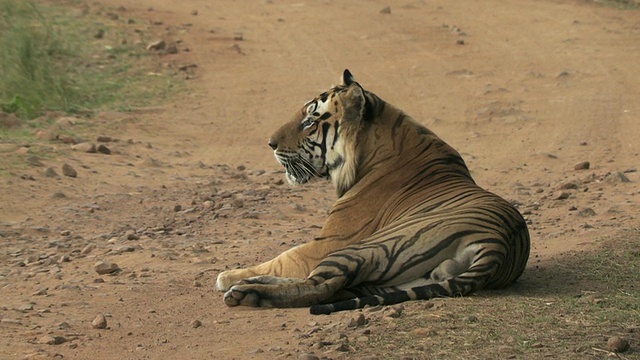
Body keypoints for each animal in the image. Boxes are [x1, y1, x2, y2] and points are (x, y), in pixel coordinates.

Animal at [216, 69, 528, 314]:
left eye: (310, 121)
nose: (270, 143)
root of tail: (499, 245)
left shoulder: (329, 242)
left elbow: (284, 258)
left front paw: (229, 274)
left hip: (367, 247)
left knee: (320, 286)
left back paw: (245, 290)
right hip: (407, 278)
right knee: (339, 288)